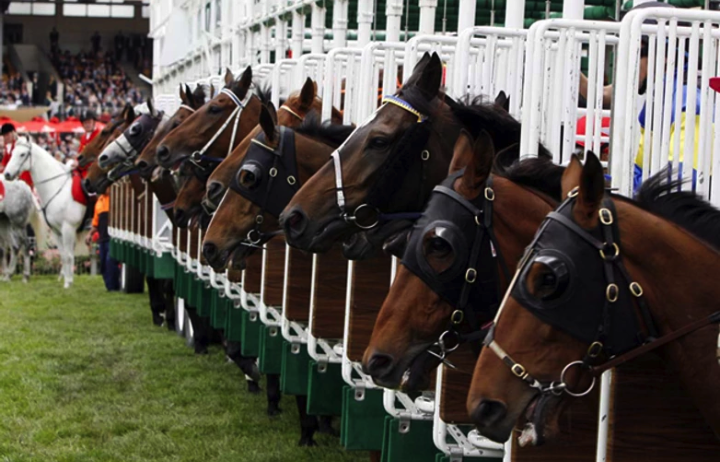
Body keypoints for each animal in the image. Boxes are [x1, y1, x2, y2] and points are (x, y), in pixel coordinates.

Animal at [3, 137, 86, 286]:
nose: (7, 174)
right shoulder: (57, 230)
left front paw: (68, 283)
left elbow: (69, 255)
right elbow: (64, 254)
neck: (58, 188)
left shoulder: (68, 228)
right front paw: (67, 280)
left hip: (17, 222)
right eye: (12, 153)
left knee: (21, 246)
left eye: (22, 154)